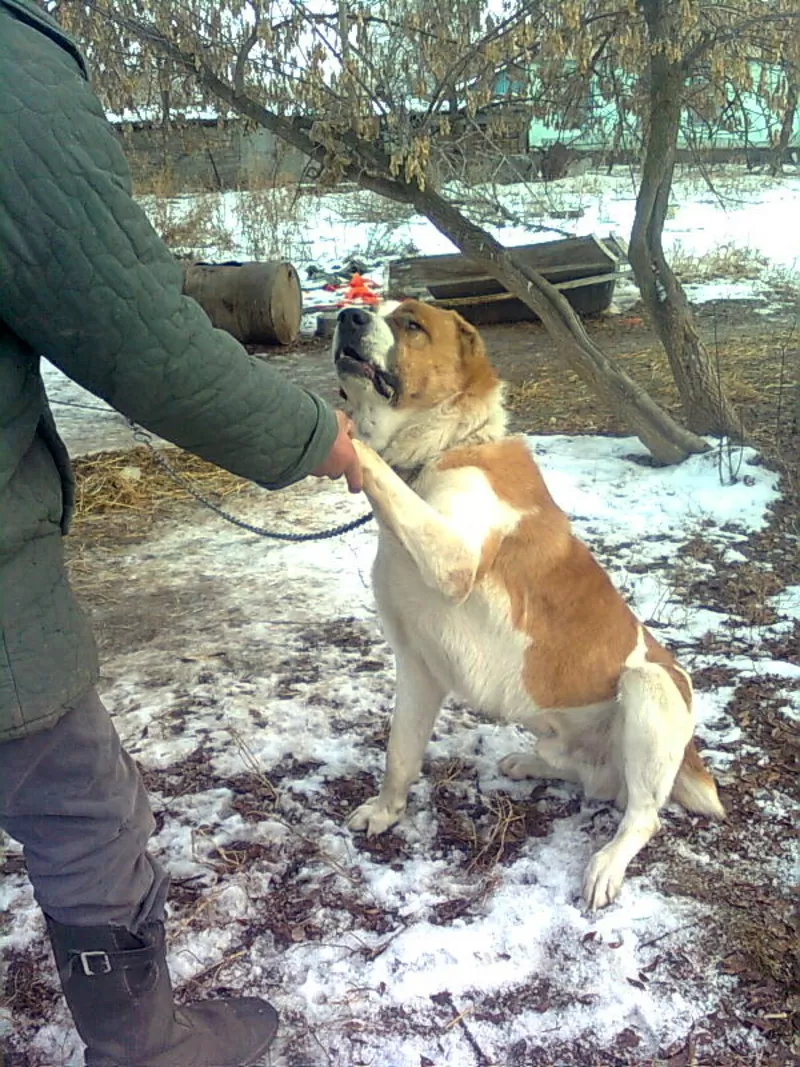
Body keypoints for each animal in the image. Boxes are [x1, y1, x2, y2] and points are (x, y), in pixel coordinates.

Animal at [332, 298, 725, 909]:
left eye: (411, 323)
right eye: (374, 307)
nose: (347, 315)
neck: (446, 445)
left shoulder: (454, 560)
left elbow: (375, 466)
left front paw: (342, 435)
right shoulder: (418, 667)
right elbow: (399, 754)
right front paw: (386, 811)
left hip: (651, 686)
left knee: (642, 816)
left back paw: (607, 863)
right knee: (587, 777)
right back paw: (529, 762)